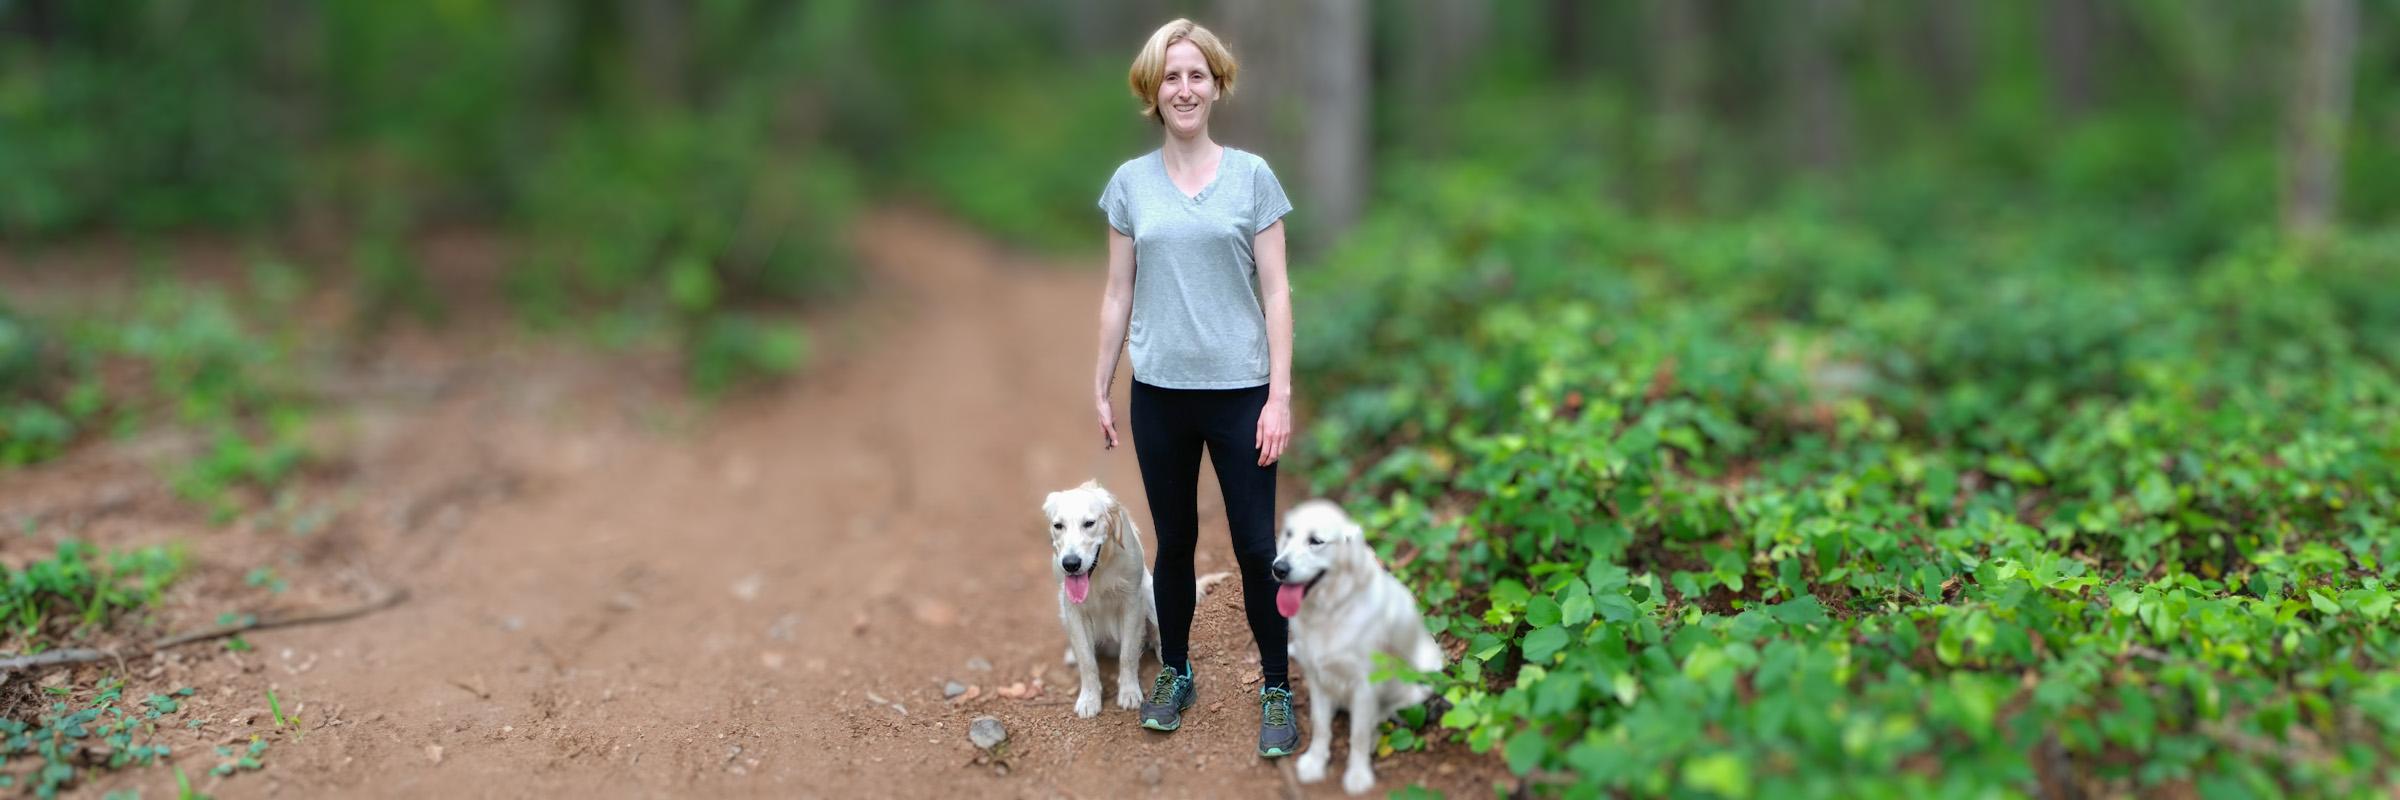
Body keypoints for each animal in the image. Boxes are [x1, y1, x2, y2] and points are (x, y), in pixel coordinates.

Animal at [1041, 480, 1161, 715]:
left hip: (1151, 595)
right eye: (1058, 526)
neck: (1098, 571)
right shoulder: (1073, 610)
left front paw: (1129, 692)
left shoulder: (1132, 603)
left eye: (1089, 523)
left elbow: (1128, 655)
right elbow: (1086, 660)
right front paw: (1089, 699)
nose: (1070, 564)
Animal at [1276, 499, 1440, 792]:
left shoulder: (1365, 685)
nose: (1278, 568)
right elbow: (1320, 726)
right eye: (1288, 535)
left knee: (1382, 714)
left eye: (1315, 541)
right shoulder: (1317, 677)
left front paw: (1358, 775)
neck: (1330, 611)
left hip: (1424, 675)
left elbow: (1359, 734)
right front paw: (1315, 762)